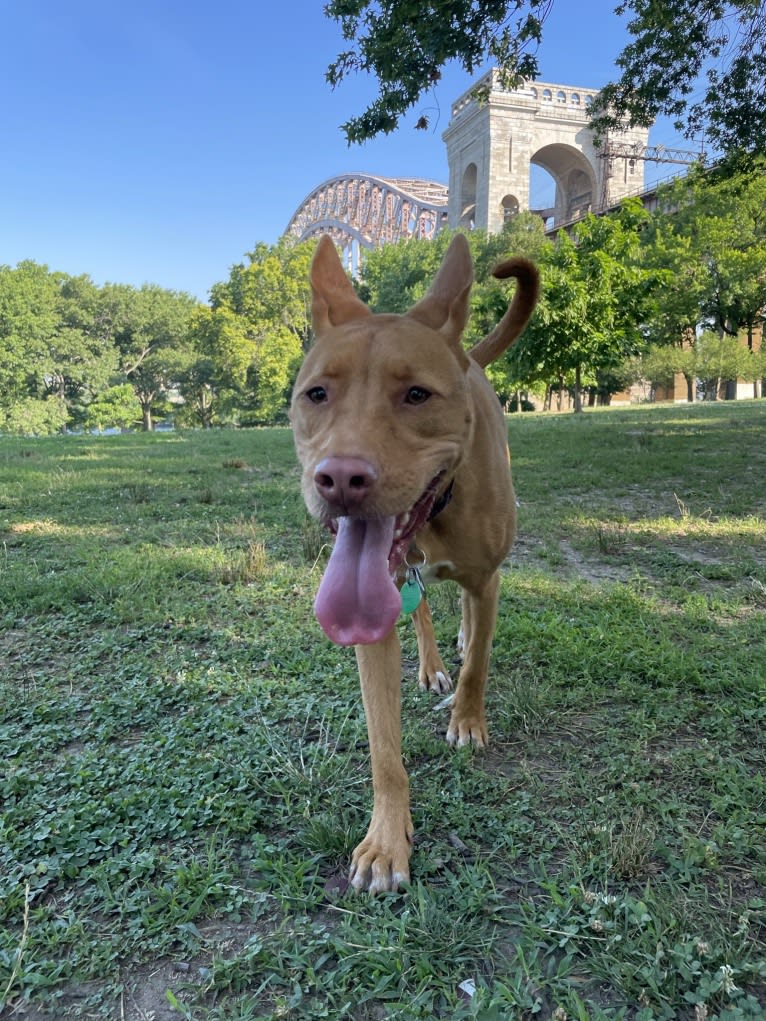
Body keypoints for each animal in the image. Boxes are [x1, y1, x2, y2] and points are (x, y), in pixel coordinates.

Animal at [292, 233, 539, 894]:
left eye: (417, 394)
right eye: (316, 394)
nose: (341, 479)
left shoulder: (488, 578)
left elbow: (479, 662)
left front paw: (468, 721)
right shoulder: (369, 620)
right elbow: (384, 749)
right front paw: (385, 841)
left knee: (465, 619)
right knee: (423, 607)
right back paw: (430, 664)